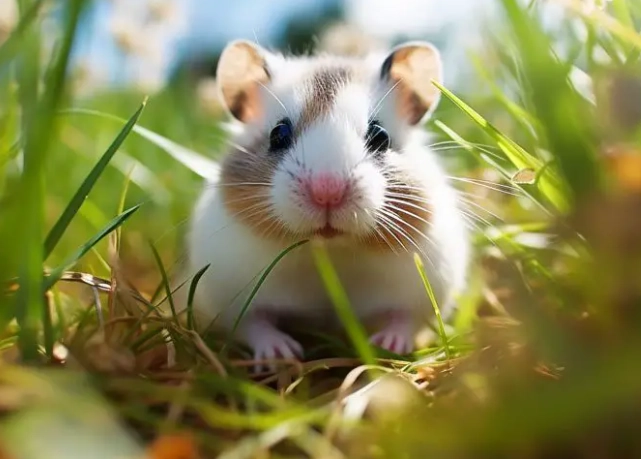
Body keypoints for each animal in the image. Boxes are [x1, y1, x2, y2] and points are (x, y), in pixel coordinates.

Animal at [181, 39, 470, 364]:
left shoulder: (422, 291)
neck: (330, 250)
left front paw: (387, 345)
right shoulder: (231, 296)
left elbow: (405, 320)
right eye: (278, 134)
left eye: (380, 136)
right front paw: (282, 354)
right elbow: (254, 325)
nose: (327, 192)